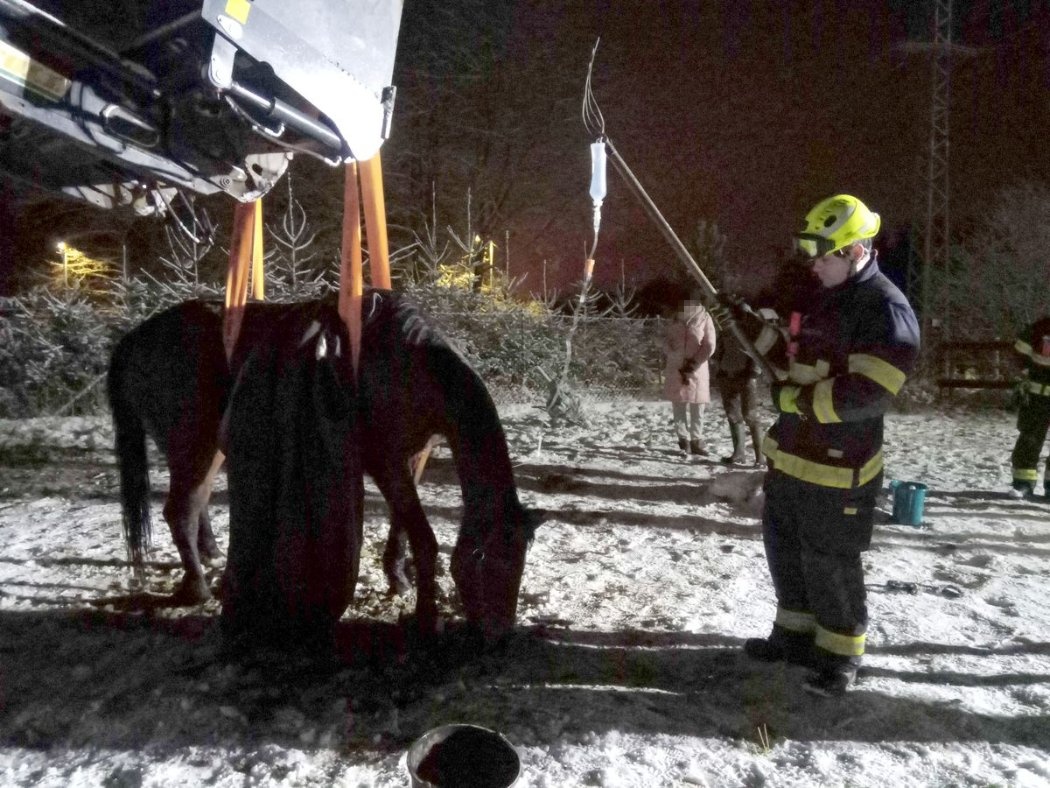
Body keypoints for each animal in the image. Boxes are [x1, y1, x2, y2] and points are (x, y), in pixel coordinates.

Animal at [106, 294, 546, 638]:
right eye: (488, 561)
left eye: (521, 562)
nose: (499, 635)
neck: (409, 363)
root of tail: (133, 339)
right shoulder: (385, 461)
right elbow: (423, 537)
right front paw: (425, 616)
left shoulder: (413, 455)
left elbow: (402, 525)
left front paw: (397, 577)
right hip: (193, 448)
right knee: (179, 510)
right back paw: (198, 588)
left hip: (209, 449)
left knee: (195, 505)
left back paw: (212, 553)